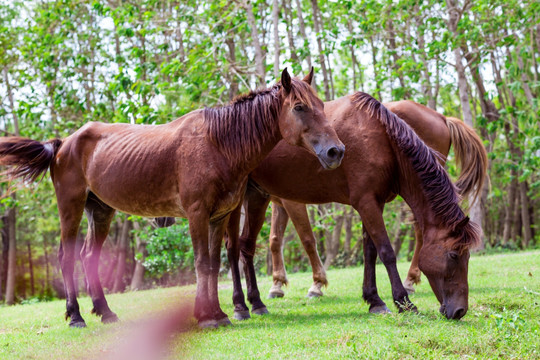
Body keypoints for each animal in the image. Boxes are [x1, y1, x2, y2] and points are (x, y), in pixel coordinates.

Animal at [0, 68, 346, 330]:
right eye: (299, 107)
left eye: (321, 105)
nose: (336, 151)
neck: (218, 144)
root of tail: (62, 143)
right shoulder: (197, 214)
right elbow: (202, 263)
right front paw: (207, 316)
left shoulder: (219, 216)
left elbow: (213, 264)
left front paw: (219, 313)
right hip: (70, 208)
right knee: (67, 257)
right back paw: (75, 317)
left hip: (100, 211)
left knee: (88, 256)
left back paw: (106, 312)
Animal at [226, 92, 484, 320]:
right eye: (453, 255)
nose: (460, 311)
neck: (380, 139)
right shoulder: (365, 203)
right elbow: (385, 251)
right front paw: (403, 302)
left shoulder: (371, 203)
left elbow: (370, 251)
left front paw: (374, 300)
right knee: (234, 247)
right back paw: (241, 307)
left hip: (256, 197)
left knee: (246, 246)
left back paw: (256, 303)